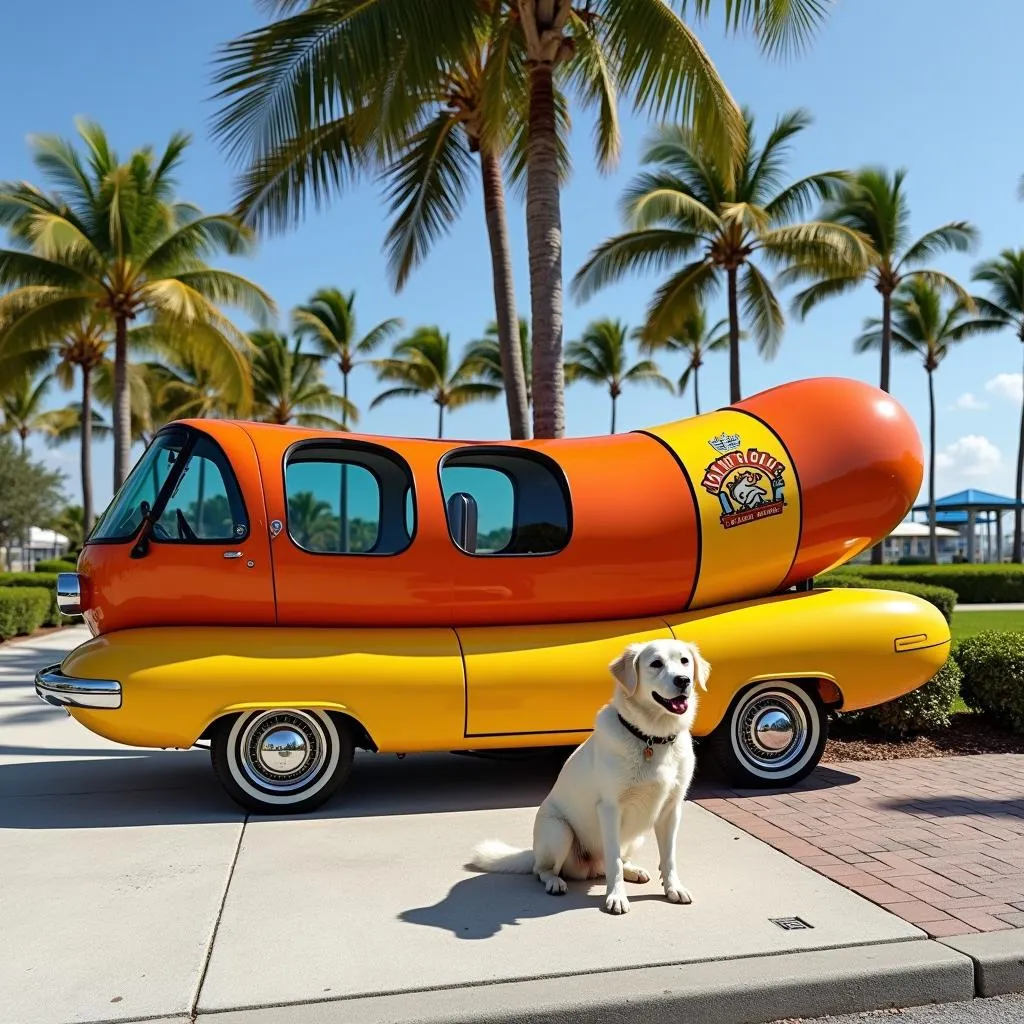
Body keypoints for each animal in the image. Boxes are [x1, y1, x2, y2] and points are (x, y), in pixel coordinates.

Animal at [468, 634, 708, 917]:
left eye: (684, 661)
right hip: (560, 832)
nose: (683, 680)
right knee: (544, 869)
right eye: (656, 664)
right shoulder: (610, 808)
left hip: (635, 837)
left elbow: (668, 857)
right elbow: (614, 860)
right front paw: (616, 897)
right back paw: (555, 882)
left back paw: (633, 870)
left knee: (614, 862)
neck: (651, 737)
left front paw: (673, 888)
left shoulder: (671, 809)